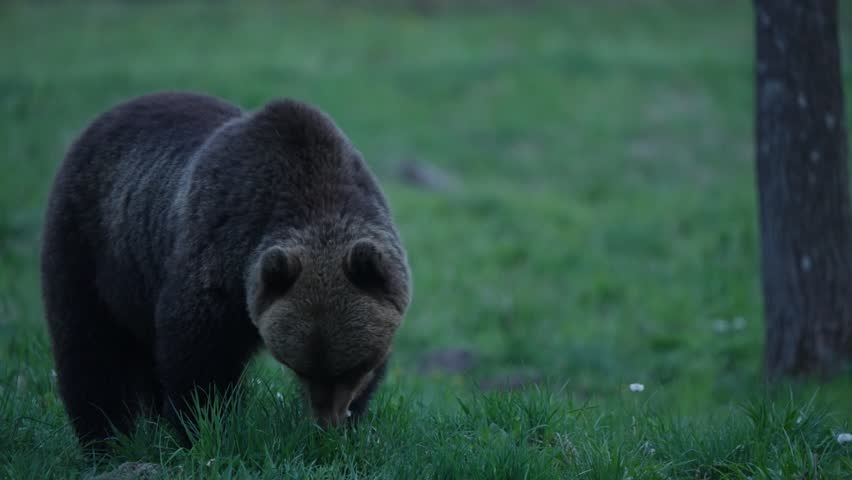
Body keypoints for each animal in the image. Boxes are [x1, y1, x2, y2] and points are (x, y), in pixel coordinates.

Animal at [40, 91, 412, 447]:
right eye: (300, 368)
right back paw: (104, 437)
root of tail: (101, 120)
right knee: (90, 346)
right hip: (89, 243)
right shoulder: (217, 259)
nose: (326, 422)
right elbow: (197, 359)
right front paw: (203, 427)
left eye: (353, 367)